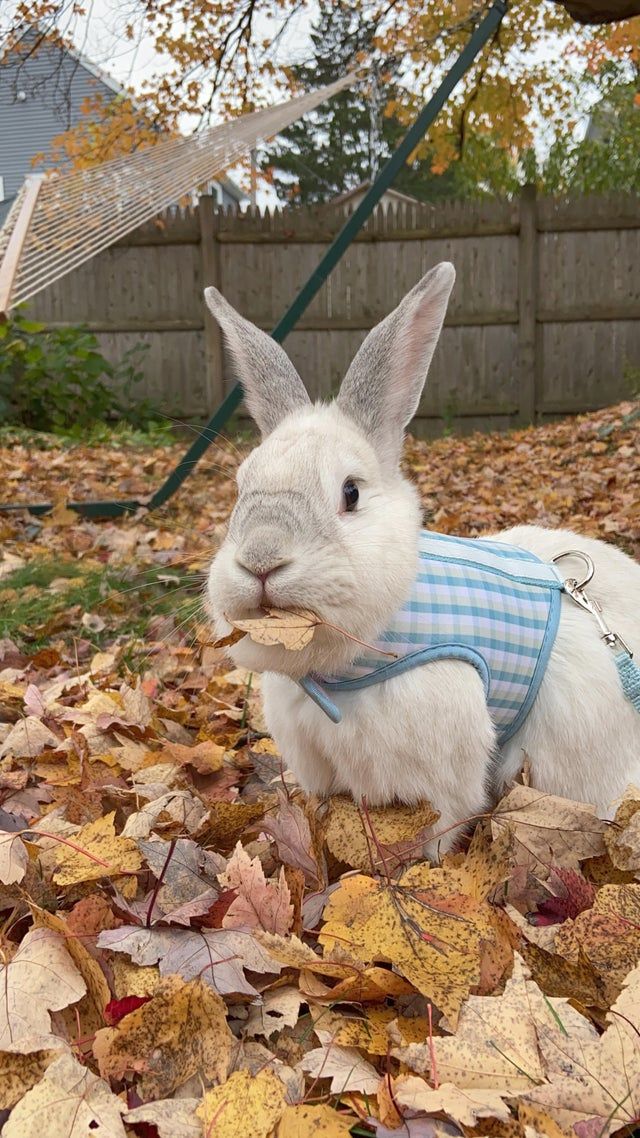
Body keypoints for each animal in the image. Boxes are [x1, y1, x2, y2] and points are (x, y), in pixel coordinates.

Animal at [203, 268, 637, 855]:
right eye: (239, 488)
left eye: (351, 493)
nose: (261, 560)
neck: (341, 673)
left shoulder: (439, 774)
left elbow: (437, 831)